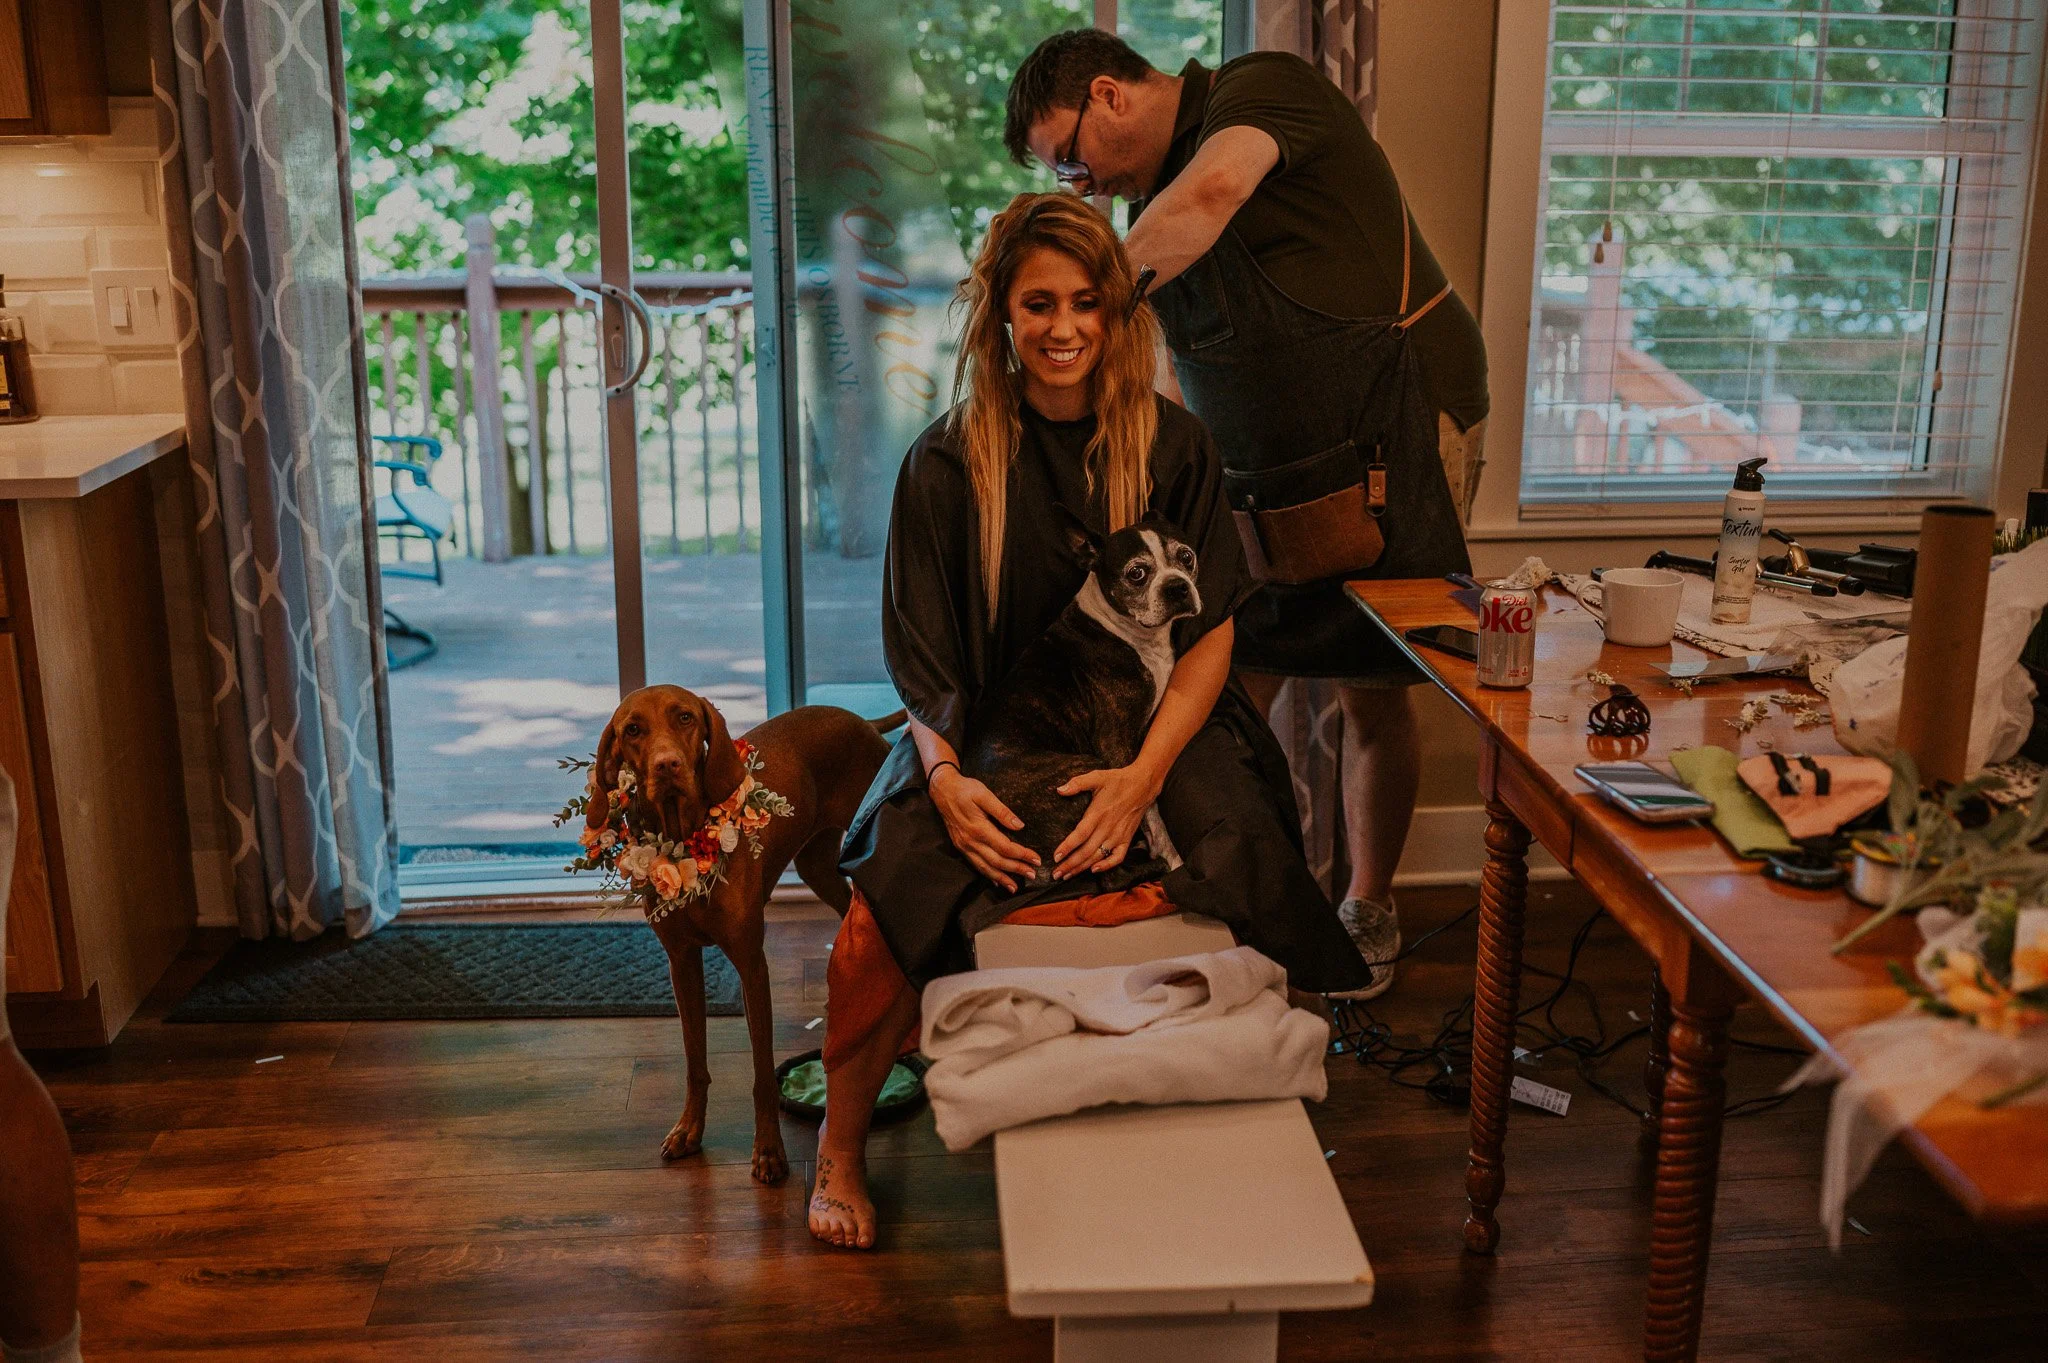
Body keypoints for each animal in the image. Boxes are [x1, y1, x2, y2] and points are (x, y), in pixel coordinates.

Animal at [581, 683, 892, 1186]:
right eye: (633, 730)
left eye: (685, 718)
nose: (667, 765)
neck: (684, 838)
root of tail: (862, 721)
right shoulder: (682, 963)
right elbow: (695, 1060)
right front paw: (689, 1128)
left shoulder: (751, 965)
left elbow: (762, 1071)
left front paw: (768, 1151)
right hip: (817, 868)